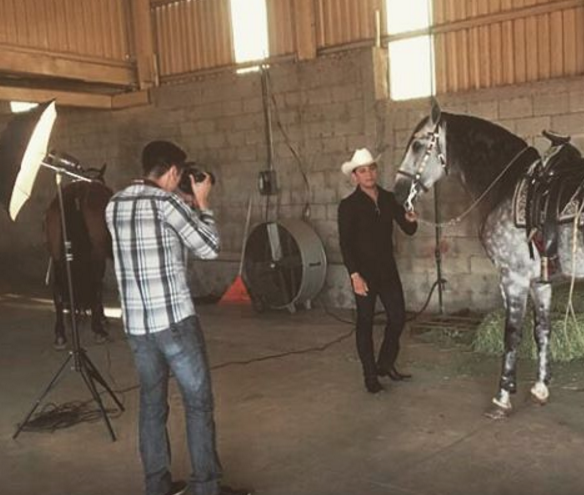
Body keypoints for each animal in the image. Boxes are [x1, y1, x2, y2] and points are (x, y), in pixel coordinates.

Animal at [44, 170, 113, 348]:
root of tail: (75, 196)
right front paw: (101, 317)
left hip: (57, 259)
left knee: (57, 290)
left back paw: (60, 334)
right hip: (96, 257)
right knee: (96, 285)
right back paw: (98, 328)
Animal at [392, 101, 584, 418]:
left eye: (418, 144)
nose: (397, 192)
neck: (508, 186)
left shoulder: (513, 278)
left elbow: (512, 335)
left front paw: (502, 398)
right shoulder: (539, 282)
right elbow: (542, 331)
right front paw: (540, 390)